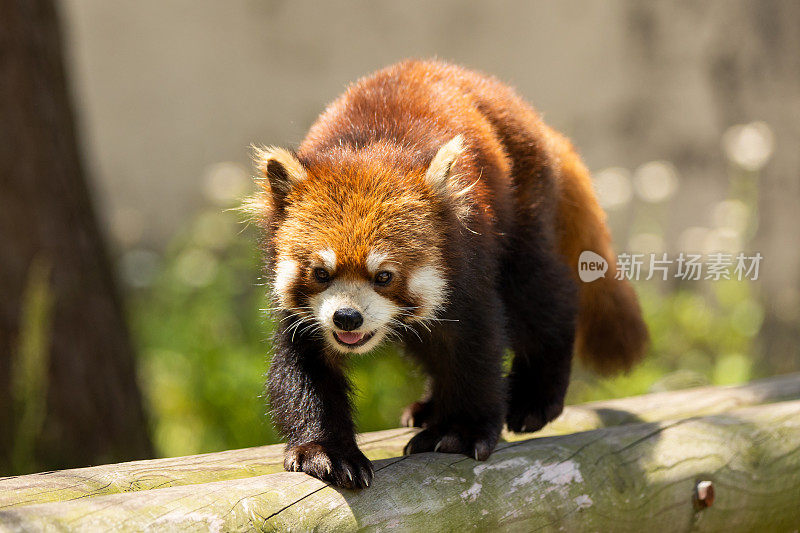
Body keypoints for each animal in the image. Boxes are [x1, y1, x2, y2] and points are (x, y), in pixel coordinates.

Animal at [247, 60, 648, 488]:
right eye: (321, 273)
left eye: (384, 276)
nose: (347, 317)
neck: (366, 148)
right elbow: (303, 368)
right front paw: (326, 451)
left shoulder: (467, 261)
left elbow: (474, 344)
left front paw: (461, 431)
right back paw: (429, 407)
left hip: (522, 201)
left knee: (541, 296)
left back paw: (534, 399)